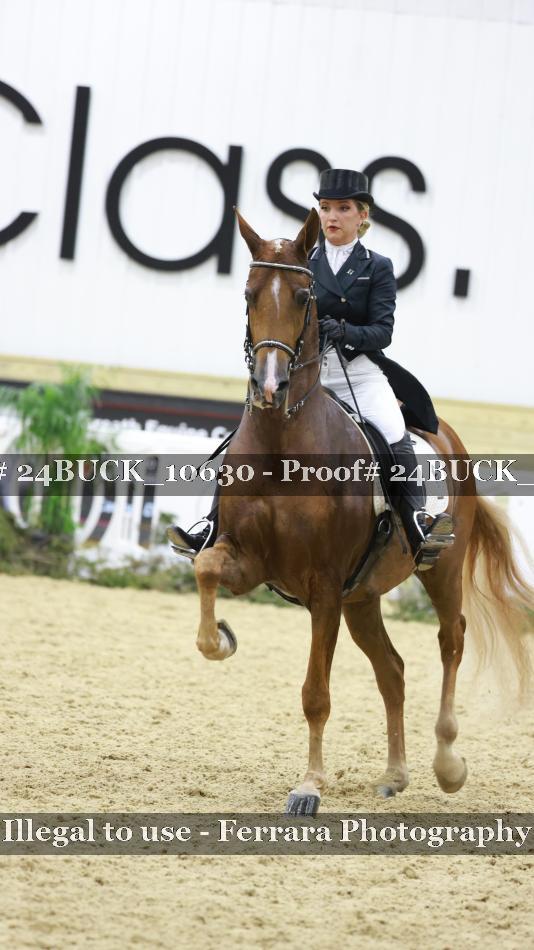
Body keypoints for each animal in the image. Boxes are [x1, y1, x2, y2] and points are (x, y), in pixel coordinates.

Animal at [192, 207, 533, 816]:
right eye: (249, 294)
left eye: (304, 297)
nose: (271, 388)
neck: (282, 442)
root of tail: (449, 437)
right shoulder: (251, 560)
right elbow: (206, 567)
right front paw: (221, 639)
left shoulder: (324, 585)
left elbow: (316, 694)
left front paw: (308, 788)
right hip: (363, 596)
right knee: (392, 669)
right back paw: (395, 775)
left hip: (438, 570)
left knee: (451, 640)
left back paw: (447, 765)